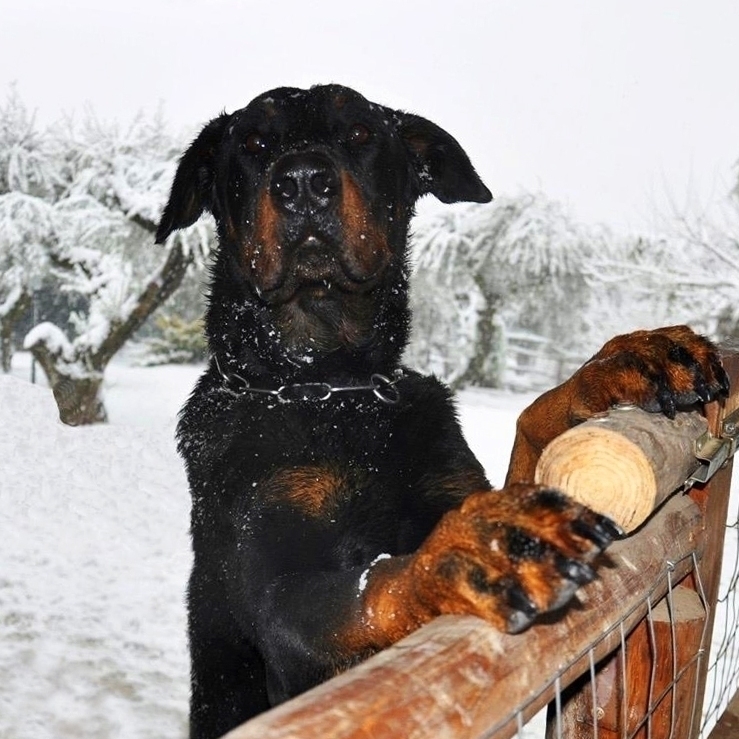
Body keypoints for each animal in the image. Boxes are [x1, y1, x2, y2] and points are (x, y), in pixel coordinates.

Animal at [156, 84, 728, 736]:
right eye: (253, 142)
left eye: (360, 133)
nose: (302, 180)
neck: (333, 390)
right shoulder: (278, 604)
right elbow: (366, 584)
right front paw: (473, 551)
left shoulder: (449, 476)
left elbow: (530, 433)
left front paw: (627, 358)